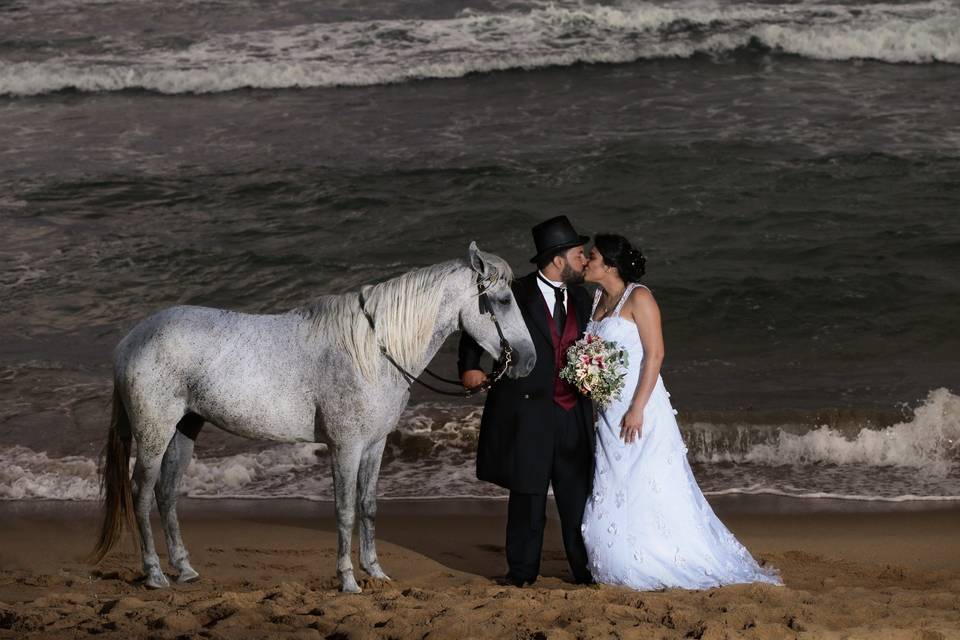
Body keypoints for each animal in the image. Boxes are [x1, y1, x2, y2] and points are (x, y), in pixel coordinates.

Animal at [93, 242, 536, 592]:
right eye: (502, 301)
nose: (528, 360)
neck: (373, 350)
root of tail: (130, 341)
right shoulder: (346, 447)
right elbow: (345, 511)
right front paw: (348, 580)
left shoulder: (375, 445)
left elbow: (368, 506)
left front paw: (375, 572)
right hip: (154, 433)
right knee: (141, 492)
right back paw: (154, 575)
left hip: (185, 429)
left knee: (166, 493)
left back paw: (185, 569)